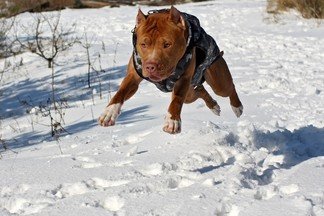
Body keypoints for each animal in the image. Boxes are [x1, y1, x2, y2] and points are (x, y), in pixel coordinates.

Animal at [98, 6, 243, 133]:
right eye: (143, 44)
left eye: (167, 44)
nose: (150, 66)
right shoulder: (133, 76)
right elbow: (121, 92)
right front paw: (109, 112)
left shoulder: (183, 80)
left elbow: (176, 100)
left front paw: (172, 120)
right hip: (190, 93)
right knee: (200, 90)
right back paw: (213, 105)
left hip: (218, 81)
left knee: (229, 88)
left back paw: (237, 107)